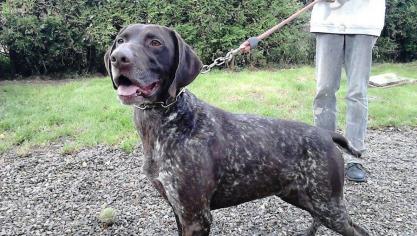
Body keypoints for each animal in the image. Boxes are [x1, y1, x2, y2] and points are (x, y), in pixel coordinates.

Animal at [103, 23, 368, 236]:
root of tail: (326, 134)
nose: (118, 58)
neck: (168, 121)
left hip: (328, 204)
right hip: (303, 197)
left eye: (155, 43)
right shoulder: (179, 211)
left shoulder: (195, 216)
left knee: (358, 230)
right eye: (121, 41)